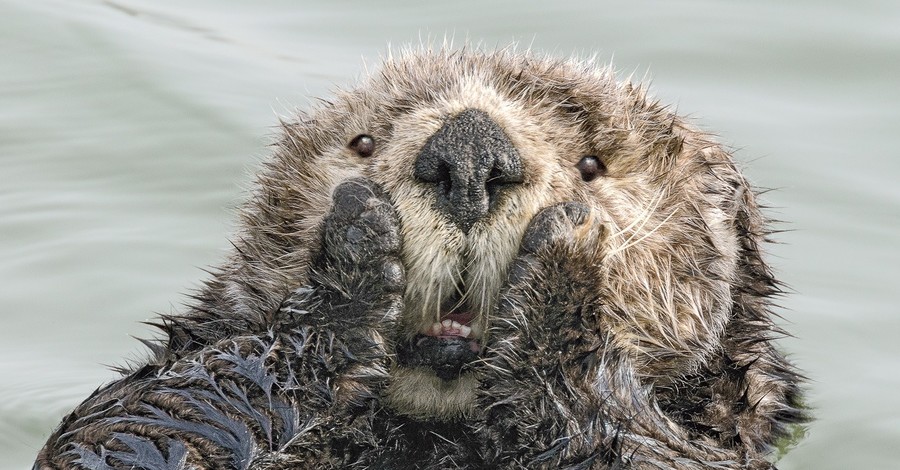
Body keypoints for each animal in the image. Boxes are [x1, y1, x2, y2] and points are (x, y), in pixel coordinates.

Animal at [37, 46, 808, 466]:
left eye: (593, 165)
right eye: (364, 143)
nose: (467, 153)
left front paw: (564, 264)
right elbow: (123, 433)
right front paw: (351, 259)